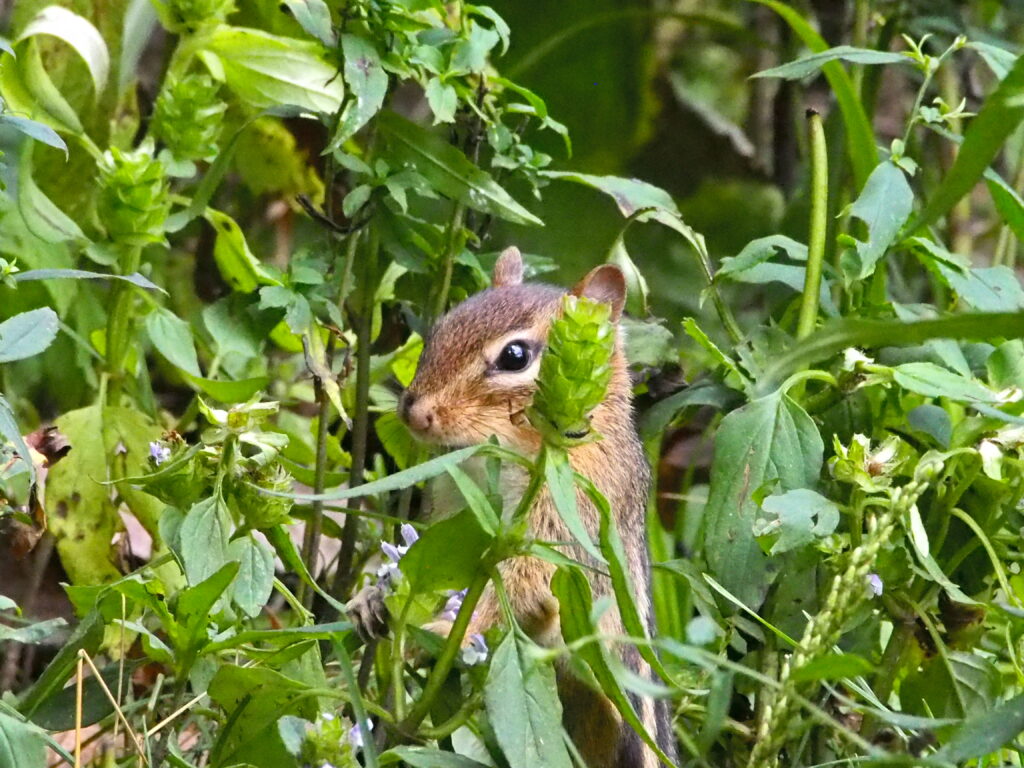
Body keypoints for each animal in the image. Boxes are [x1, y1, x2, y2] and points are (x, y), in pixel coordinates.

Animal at [351, 247, 676, 768]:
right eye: (442, 327)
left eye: (515, 356)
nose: (413, 412)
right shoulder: (455, 511)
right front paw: (372, 598)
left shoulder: (562, 525)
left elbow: (516, 583)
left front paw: (446, 631)